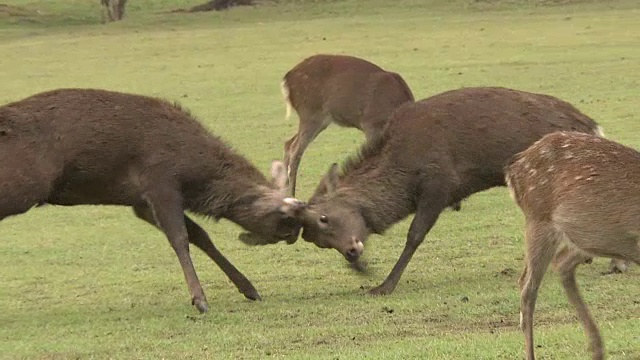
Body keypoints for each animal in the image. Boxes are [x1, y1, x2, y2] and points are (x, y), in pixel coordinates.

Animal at [0, 88, 304, 314]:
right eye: (284, 215)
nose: (294, 233)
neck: (193, 172)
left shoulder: (141, 203)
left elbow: (201, 235)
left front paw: (249, 288)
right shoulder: (160, 182)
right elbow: (180, 238)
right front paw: (200, 300)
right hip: (24, 186)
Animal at [280, 54, 416, 197]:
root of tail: (287, 79)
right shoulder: (370, 124)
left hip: (319, 120)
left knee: (288, 143)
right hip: (310, 112)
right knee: (295, 150)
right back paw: (291, 194)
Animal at [282, 86, 612, 296]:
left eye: (323, 218)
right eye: (316, 241)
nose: (352, 254)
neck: (403, 167)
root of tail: (592, 126)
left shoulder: (439, 183)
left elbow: (415, 235)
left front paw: (385, 286)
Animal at [508, 132, 636, 360]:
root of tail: (513, 170)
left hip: (586, 238)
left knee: (561, 263)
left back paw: (597, 348)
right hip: (538, 219)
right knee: (527, 287)